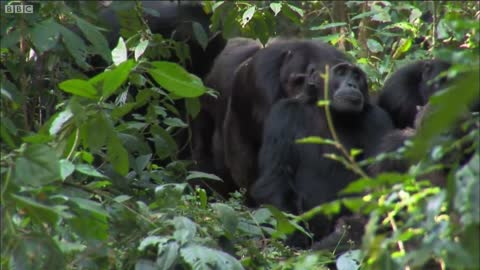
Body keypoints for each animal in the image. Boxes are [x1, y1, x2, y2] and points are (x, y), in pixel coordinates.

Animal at [251, 62, 394, 243]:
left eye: (356, 76)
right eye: (341, 72)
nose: (352, 84)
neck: (330, 113)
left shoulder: (378, 120)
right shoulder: (282, 114)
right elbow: (275, 177)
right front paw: (296, 236)